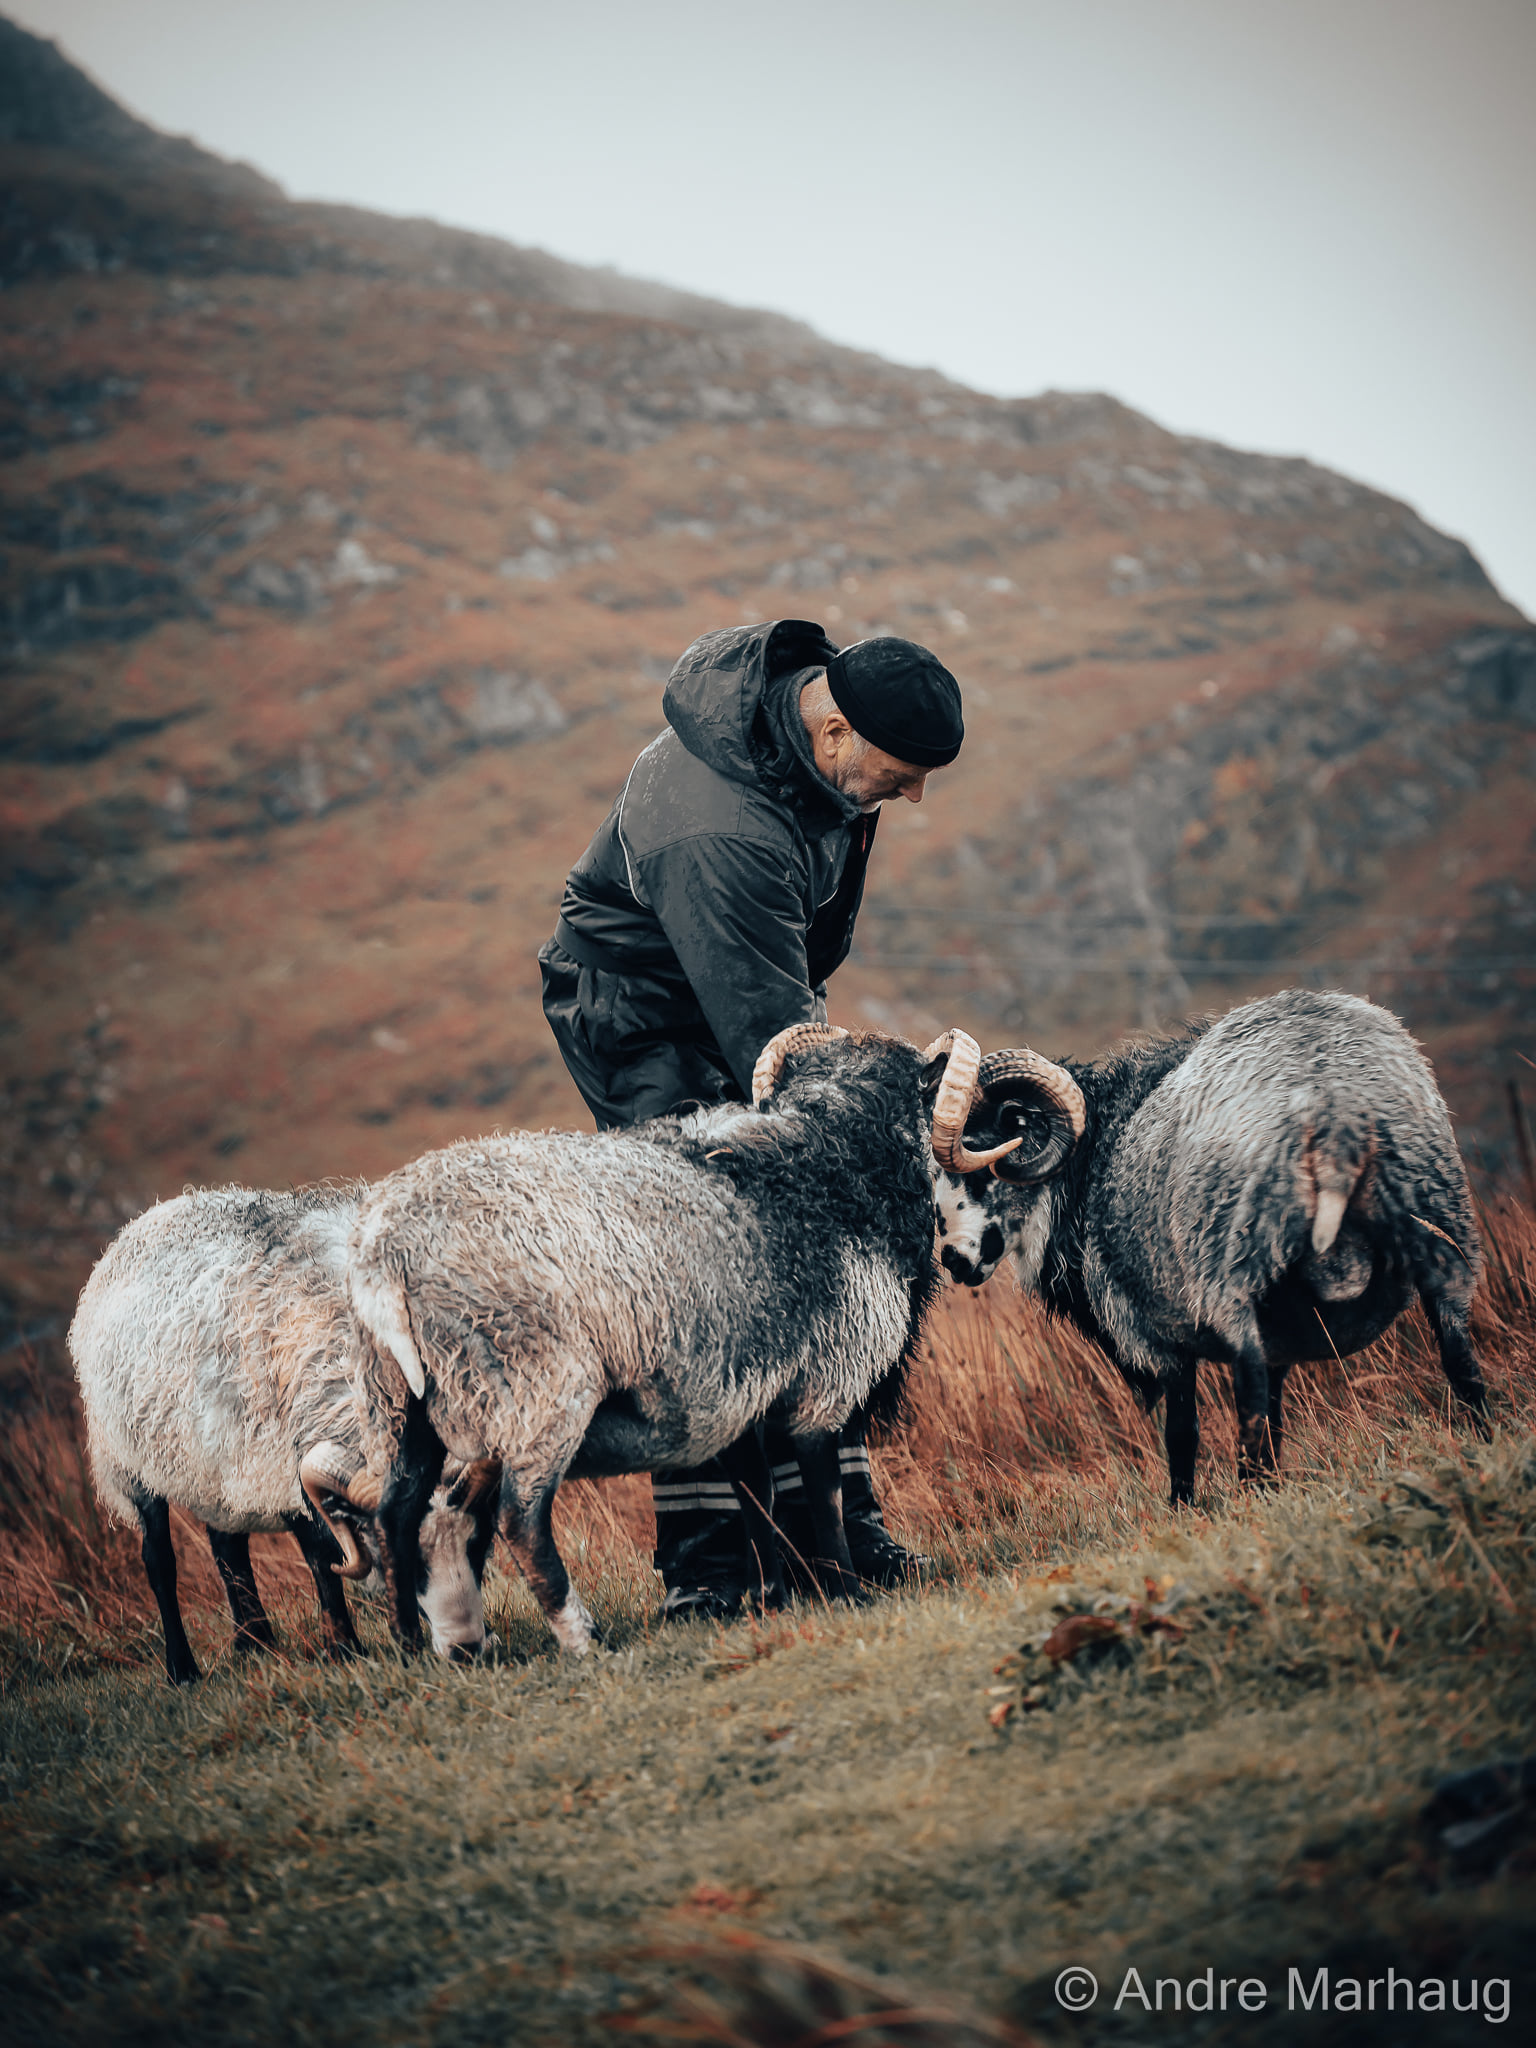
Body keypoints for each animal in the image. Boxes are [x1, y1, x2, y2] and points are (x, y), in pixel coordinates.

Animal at [69, 1187, 499, 1679]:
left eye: (479, 1540)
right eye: (403, 1558)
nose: (467, 1649)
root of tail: (151, 1215)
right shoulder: (285, 1468)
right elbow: (322, 1557)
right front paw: (344, 1648)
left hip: (219, 1463)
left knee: (228, 1547)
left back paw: (254, 1641)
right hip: (128, 1463)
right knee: (159, 1560)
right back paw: (183, 1669)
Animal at [342, 1015, 1003, 1654]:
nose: (979, 1255)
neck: (835, 1158)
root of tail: (388, 1254)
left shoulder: (736, 1394)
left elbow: (755, 1491)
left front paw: (770, 1597)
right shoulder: (824, 1383)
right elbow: (825, 1494)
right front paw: (846, 1592)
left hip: (400, 1402)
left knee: (395, 1513)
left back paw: (412, 1647)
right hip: (538, 1392)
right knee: (518, 1521)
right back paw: (582, 1640)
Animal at [933, 991, 1499, 1507]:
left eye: (981, 1163)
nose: (954, 1262)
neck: (1087, 1165)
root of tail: (1333, 1108)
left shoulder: (1156, 1334)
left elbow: (1184, 1432)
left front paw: (1185, 1509)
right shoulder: (1281, 1331)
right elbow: (1274, 1415)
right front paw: (1272, 1487)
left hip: (1230, 1268)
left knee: (1246, 1389)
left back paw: (1246, 1494)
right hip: (1441, 1222)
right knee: (1458, 1356)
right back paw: (1483, 1446)